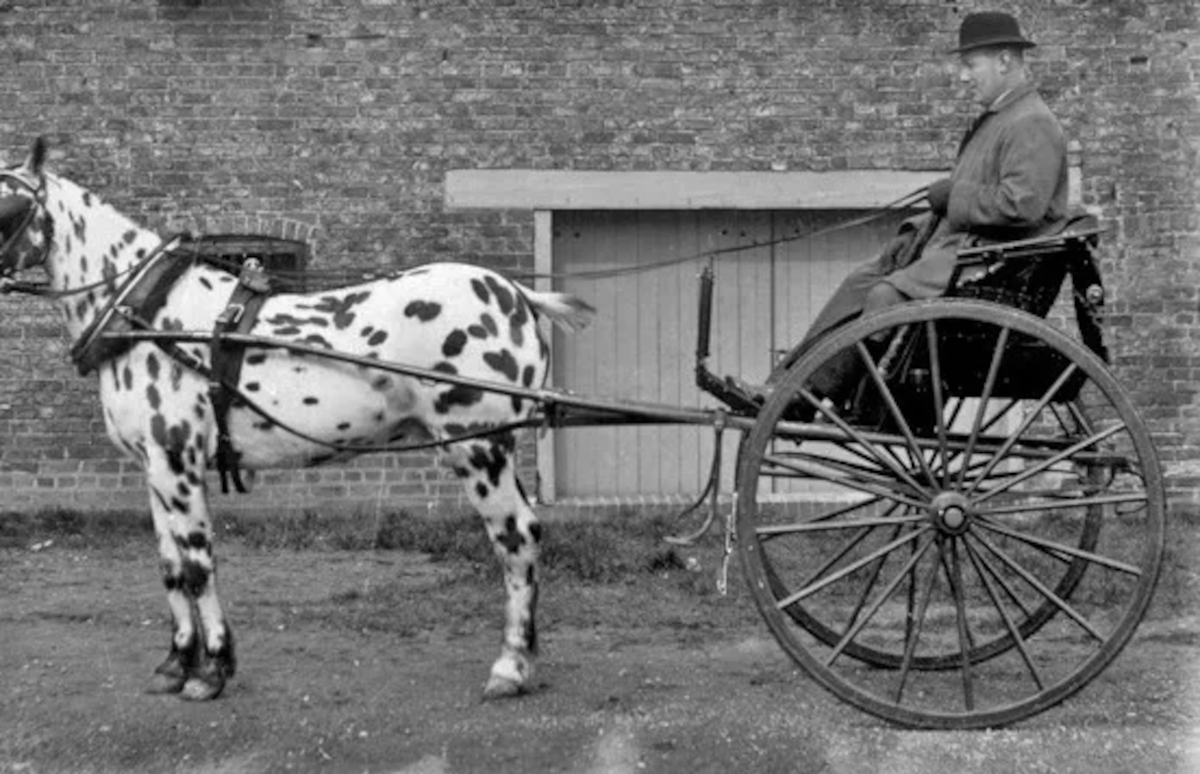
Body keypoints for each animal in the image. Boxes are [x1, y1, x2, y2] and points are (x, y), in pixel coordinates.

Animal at [0, 137, 595, 701]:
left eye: (8, 205)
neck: (150, 315)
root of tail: (515, 293)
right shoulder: (154, 469)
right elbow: (170, 567)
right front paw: (175, 663)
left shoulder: (178, 465)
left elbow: (197, 564)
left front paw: (212, 671)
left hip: (478, 448)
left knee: (516, 537)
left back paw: (511, 667)